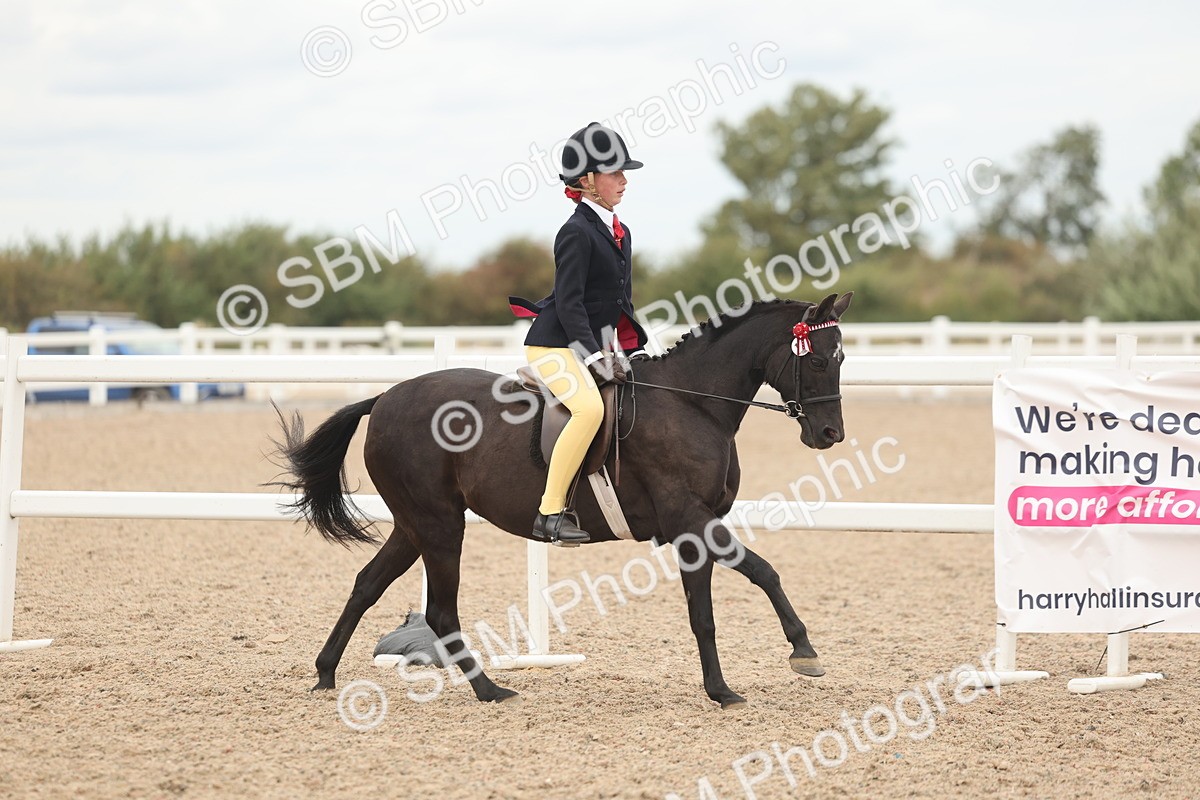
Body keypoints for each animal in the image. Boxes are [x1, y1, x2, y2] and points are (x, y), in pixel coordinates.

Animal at [274, 292, 852, 708]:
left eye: (841, 357)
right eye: (818, 361)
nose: (829, 435)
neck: (693, 403)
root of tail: (383, 398)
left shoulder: (698, 525)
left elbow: (724, 597)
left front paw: (738, 681)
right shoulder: (690, 520)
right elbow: (745, 584)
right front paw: (786, 660)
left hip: (414, 522)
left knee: (367, 584)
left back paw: (325, 673)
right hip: (439, 525)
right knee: (439, 611)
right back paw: (490, 690)